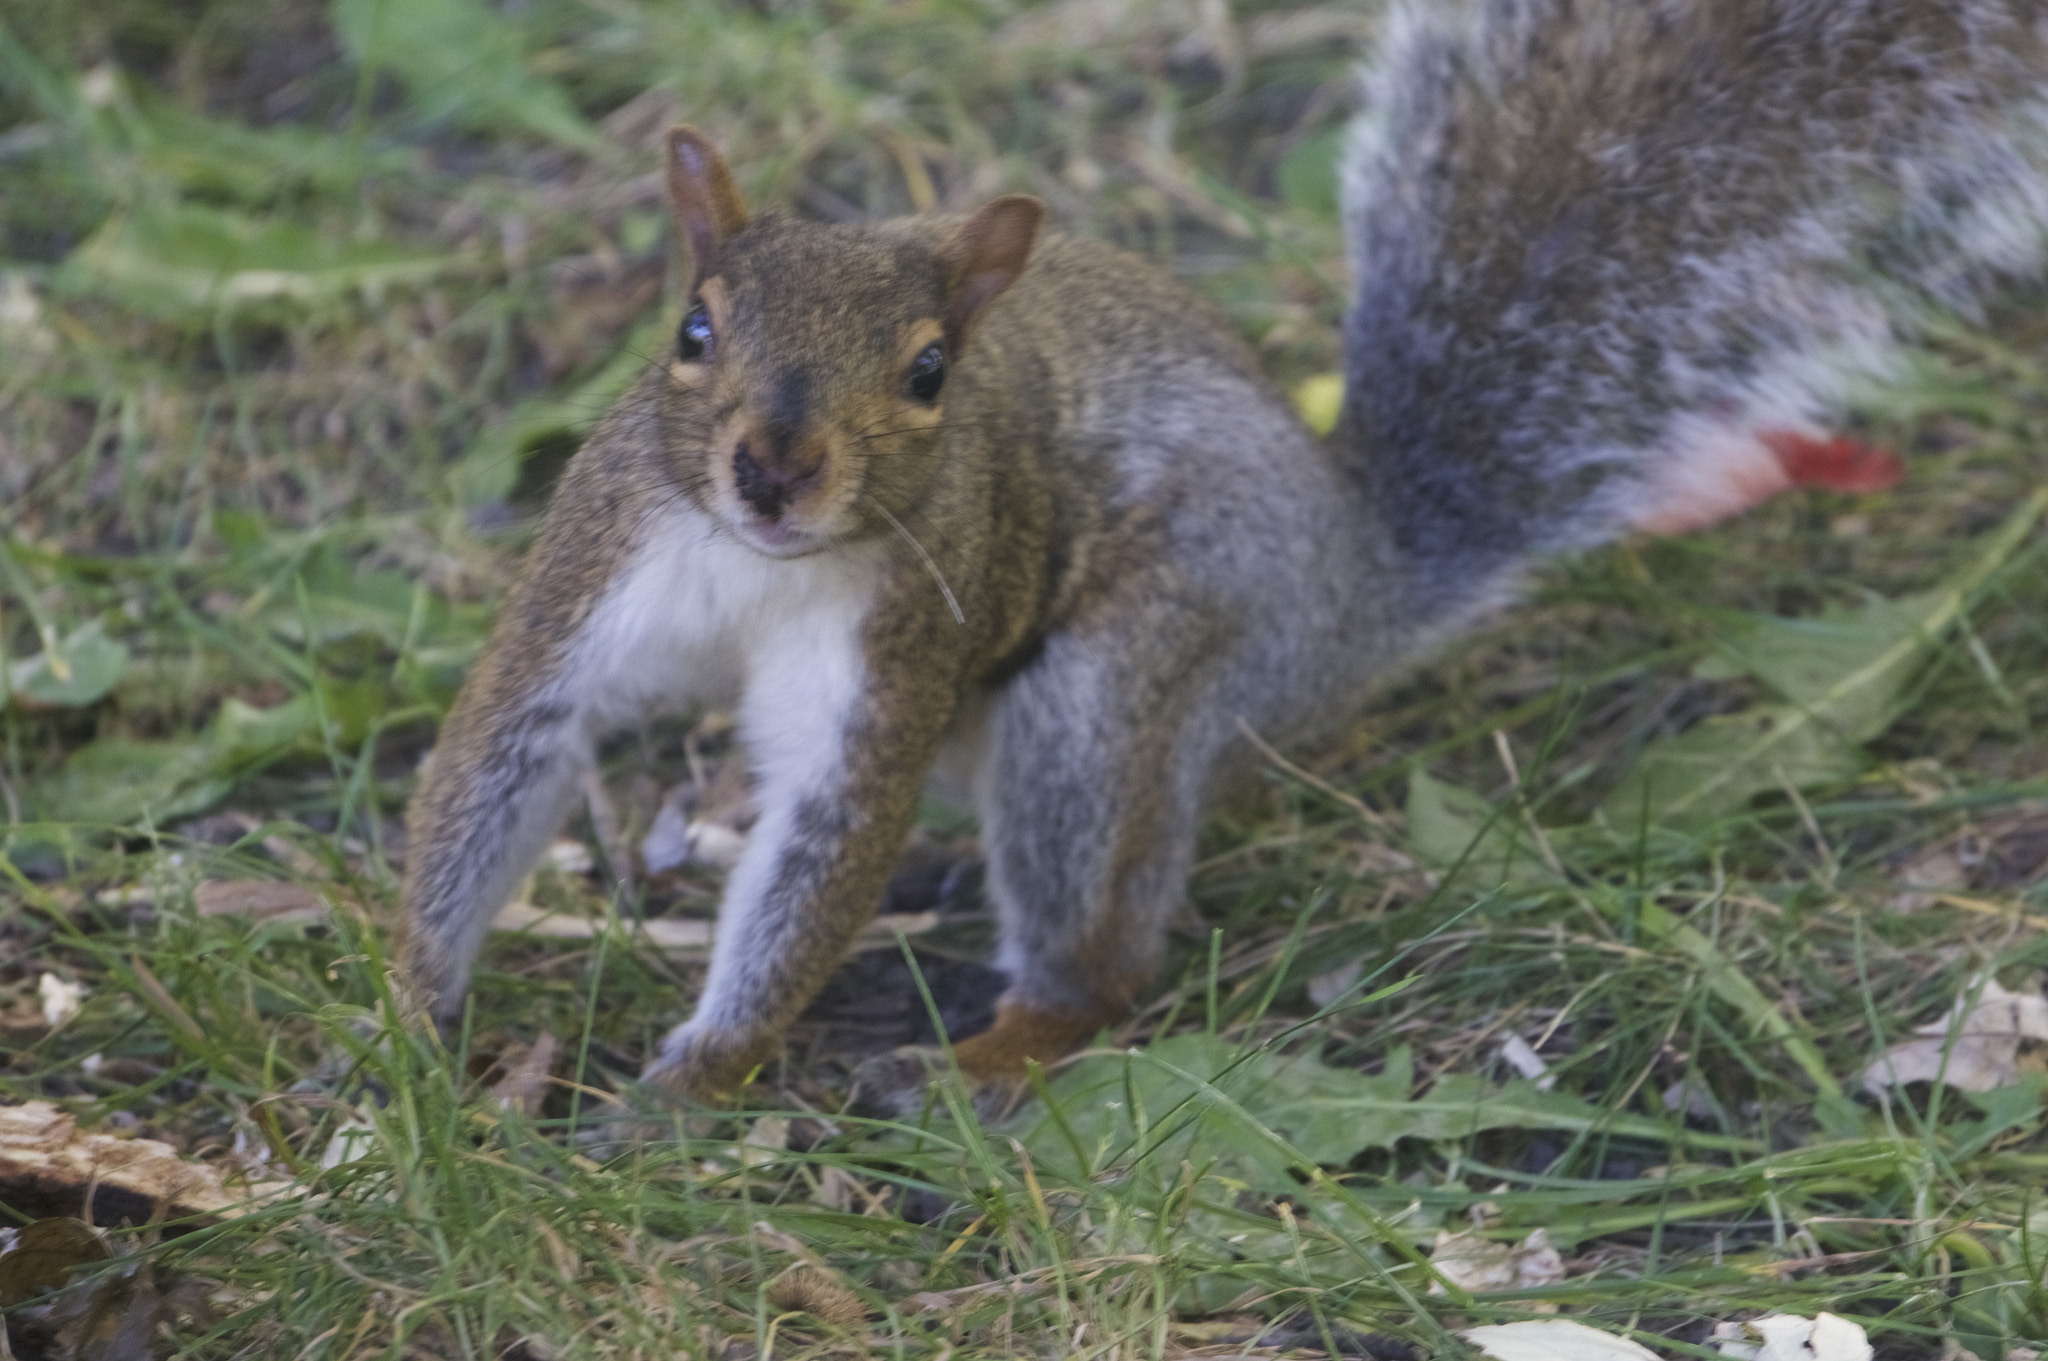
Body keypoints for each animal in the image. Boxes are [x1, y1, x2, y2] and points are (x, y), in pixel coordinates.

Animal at [395, 0, 2048, 1113]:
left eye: (931, 373)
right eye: (694, 328)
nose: (777, 468)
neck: (768, 564)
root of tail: (1349, 576)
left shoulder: (906, 626)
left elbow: (829, 830)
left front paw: (693, 1079)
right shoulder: (606, 559)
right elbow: (501, 744)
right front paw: (407, 1022)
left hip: (1131, 669)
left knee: (1102, 940)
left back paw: (1003, 1044)